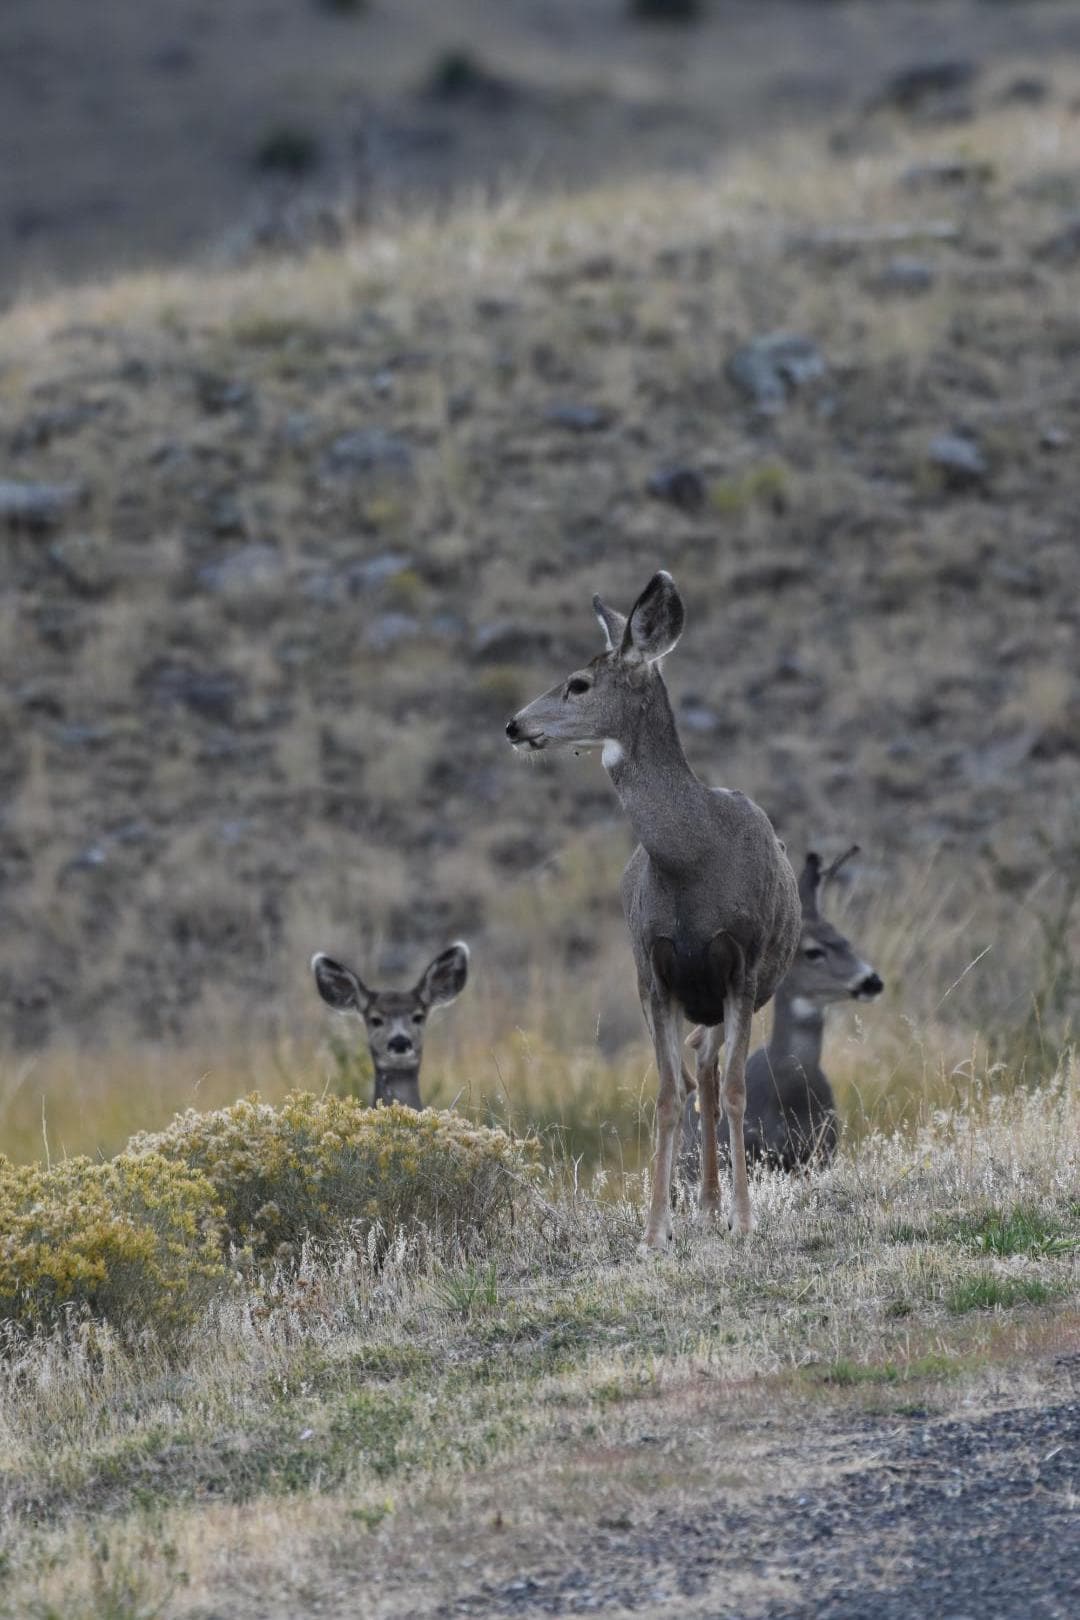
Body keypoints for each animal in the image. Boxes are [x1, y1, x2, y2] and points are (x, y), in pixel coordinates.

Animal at [505, 571, 801, 1252]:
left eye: (578, 683)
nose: (513, 724)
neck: (693, 856)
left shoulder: (742, 965)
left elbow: (740, 1090)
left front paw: (746, 1220)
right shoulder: (652, 969)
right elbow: (667, 1095)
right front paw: (654, 1228)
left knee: (714, 1076)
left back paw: (720, 1206)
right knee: (698, 1078)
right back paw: (704, 1204)